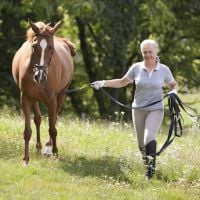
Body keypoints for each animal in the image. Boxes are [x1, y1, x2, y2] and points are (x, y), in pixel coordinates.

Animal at [11, 19, 76, 165]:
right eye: (34, 46)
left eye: (51, 48)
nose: (39, 76)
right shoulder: (26, 98)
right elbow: (27, 131)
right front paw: (25, 159)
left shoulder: (52, 100)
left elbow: (52, 128)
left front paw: (55, 152)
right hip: (35, 99)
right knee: (38, 119)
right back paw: (39, 146)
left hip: (62, 94)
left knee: (54, 119)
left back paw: (47, 147)